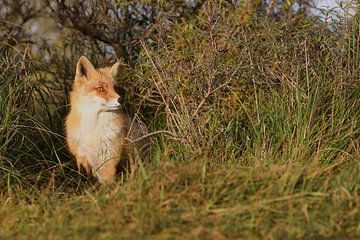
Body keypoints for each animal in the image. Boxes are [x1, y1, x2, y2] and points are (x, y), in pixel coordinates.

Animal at [65, 56, 149, 184]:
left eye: (115, 88)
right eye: (100, 89)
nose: (121, 100)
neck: (93, 129)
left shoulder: (109, 158)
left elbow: (108, 183)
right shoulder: (81, 157)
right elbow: (85, 180)